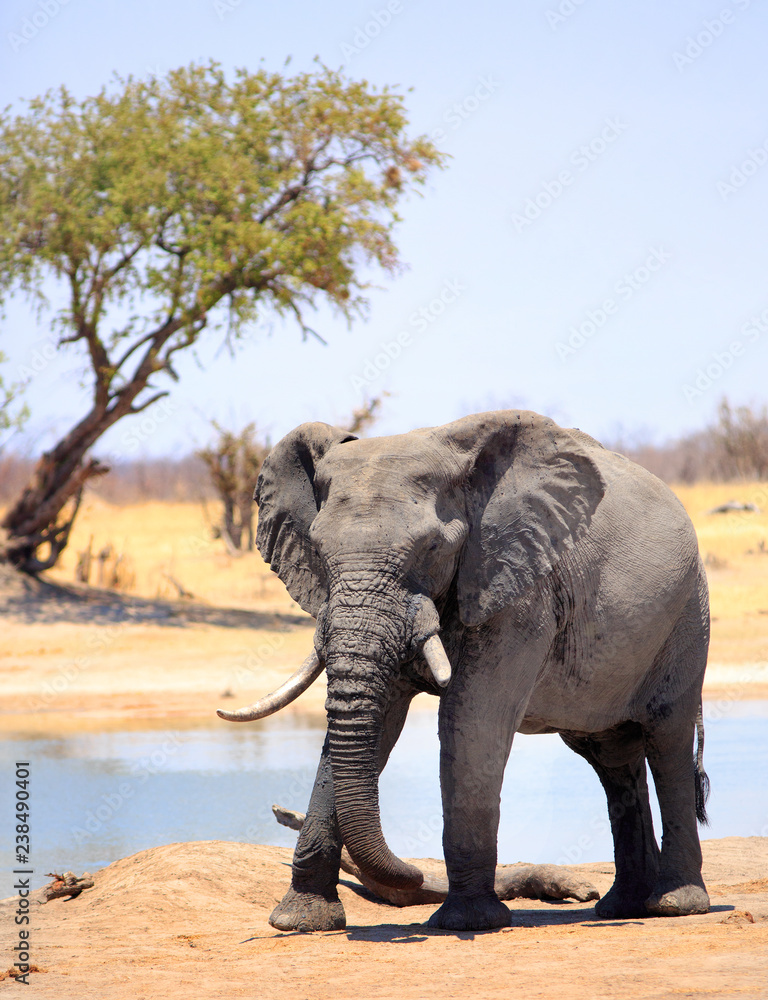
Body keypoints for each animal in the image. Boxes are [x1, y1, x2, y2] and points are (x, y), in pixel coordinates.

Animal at [218, 410, 711, 932]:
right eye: (316, 548)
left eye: (433, 547)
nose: (413, 874)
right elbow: (375, 723)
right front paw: (300, 921)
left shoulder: (519, 589)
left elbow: (472, 718)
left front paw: (469, 921)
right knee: (612, 758)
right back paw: (622, 907)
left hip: (687, 614)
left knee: (667, 739)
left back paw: (675, 904)